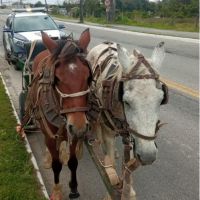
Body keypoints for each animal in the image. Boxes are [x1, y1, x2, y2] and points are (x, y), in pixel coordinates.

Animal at [23, 28, 91, 200]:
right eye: (58, 79)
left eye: (88, 76)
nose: (79, 126)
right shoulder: (51, 135)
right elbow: (56, 164)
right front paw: (57, 190)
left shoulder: (74, 133)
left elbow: (73, 162)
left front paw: (73, 188)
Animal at [87, 41, 167, 199]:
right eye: (127, 101)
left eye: (161, 100)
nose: (148, 156)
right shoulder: (109, 132)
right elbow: (110, 163)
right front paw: (110, 191)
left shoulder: (131, 134)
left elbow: (128, 164)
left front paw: (128, 191)